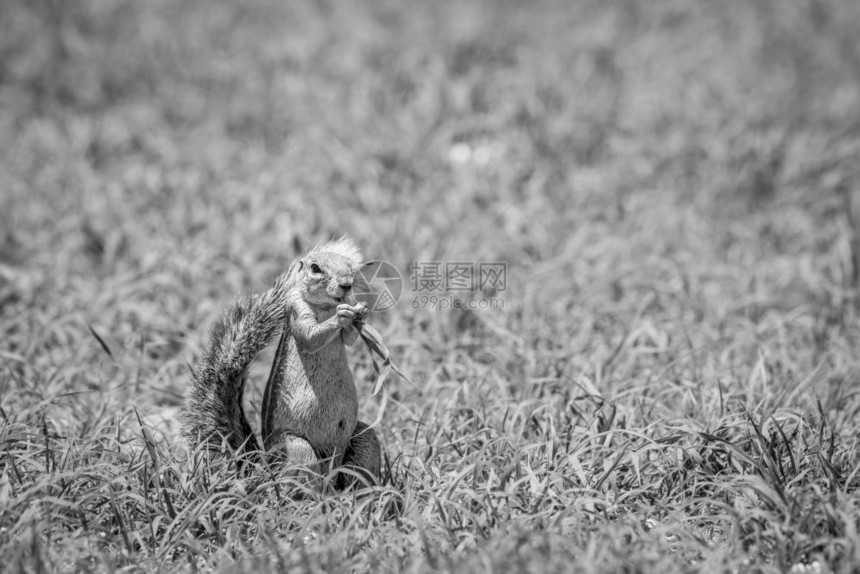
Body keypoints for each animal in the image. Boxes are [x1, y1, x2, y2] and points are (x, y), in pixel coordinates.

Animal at [181, 237, 380, 486]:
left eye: (350, 268)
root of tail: (265, 467)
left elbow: (350, 339)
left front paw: (360, 312)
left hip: (364, 437)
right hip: (298, 447)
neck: (325, 306)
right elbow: (310, 336)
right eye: (315, 268)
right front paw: (342, 315)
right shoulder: (295, 308)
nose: (347, 284)